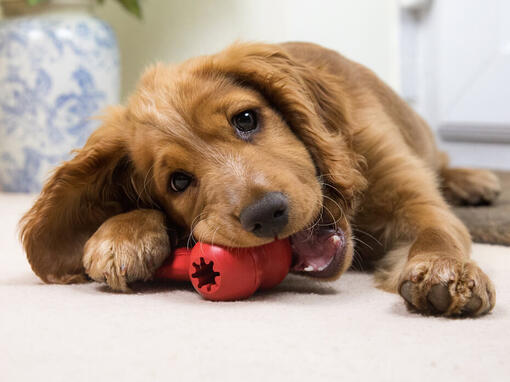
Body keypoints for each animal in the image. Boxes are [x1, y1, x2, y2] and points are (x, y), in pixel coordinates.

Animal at [18, 41, 498, 316]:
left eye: (246, 119)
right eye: (177, 182)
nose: (266, 215)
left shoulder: (412, 196)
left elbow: (438, 230)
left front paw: (449, 272)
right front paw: (120, 235)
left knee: (443, 162)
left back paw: (476, 179)